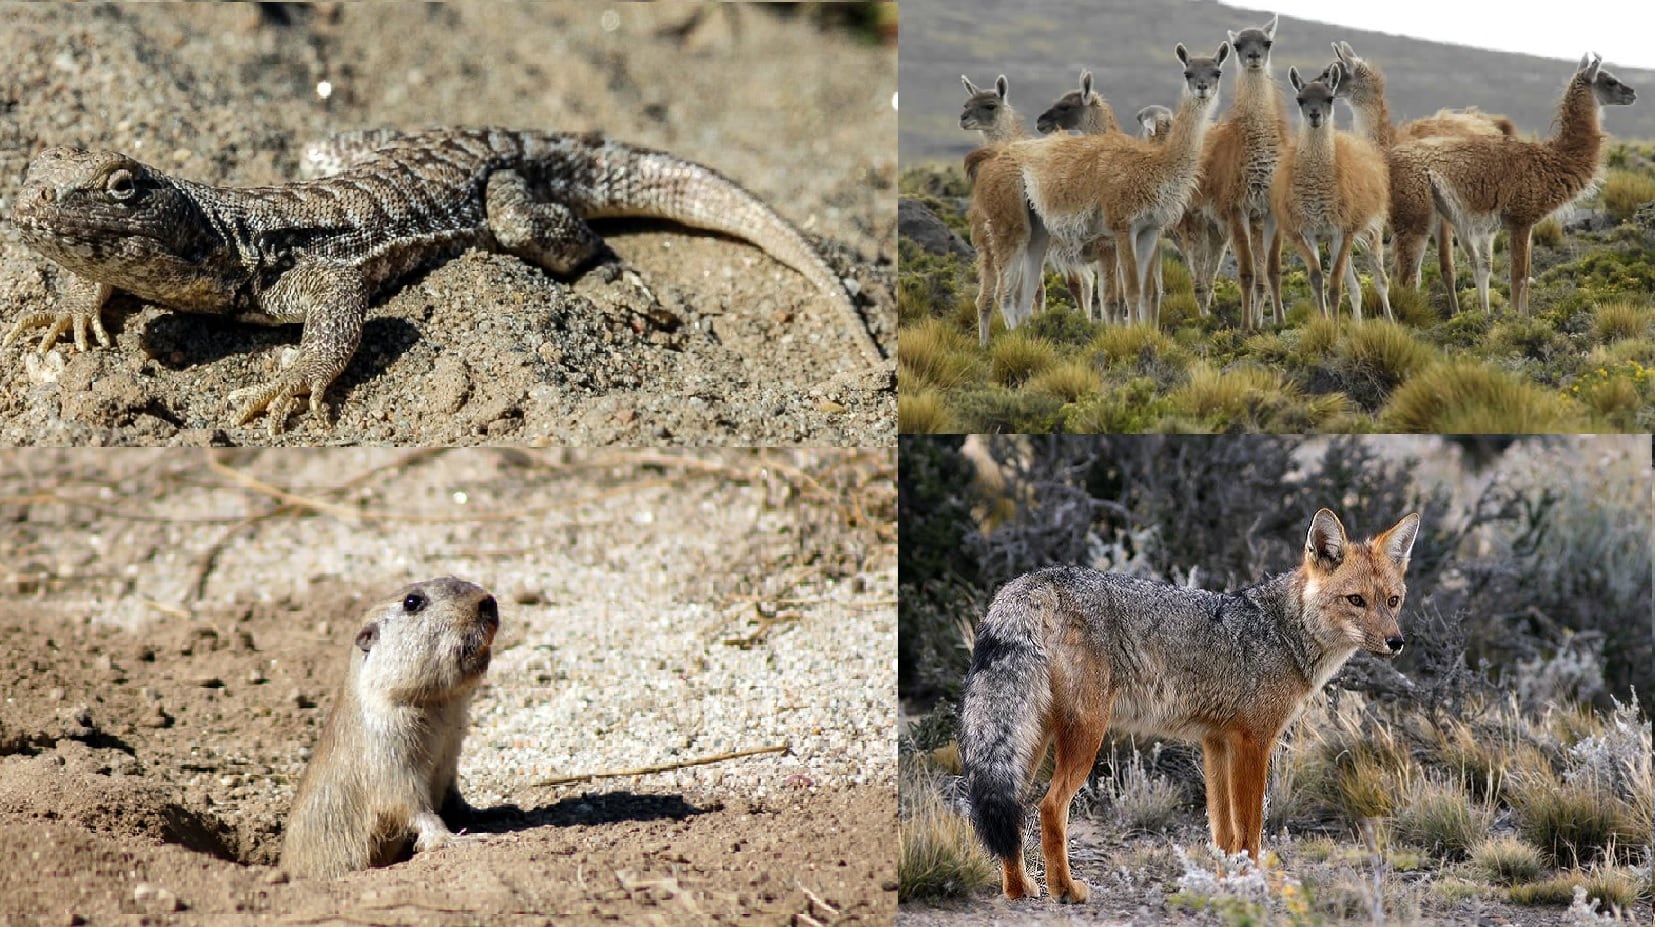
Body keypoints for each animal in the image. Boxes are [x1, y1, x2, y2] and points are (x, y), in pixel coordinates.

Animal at [959, 509, 1423, 900]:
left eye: (1393, 600)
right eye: (1356, 600)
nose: (1396, 642)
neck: (1283, 633)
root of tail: (1034, 580)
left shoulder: (1216, 744)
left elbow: (1223, 831)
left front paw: (1222, 883)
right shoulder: (1254, 743)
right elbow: (1250, 830)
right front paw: (1253, 883)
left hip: (1030, 741)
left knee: (1010, 809)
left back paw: (1019, 888)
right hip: (1087, 735)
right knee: (1050, 808)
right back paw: (1065, 890)